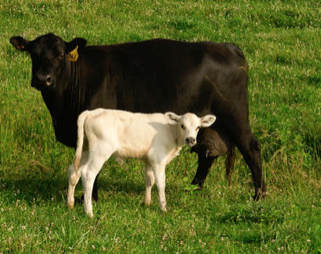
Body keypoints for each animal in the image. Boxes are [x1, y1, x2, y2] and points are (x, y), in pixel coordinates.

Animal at [8, 33, 266, 199]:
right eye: (33, 53)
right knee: (208, 154)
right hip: (206, 123)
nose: (43, 78)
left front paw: (91, 198)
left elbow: (95, 167)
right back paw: (193, 189)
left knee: (251, 149)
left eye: (60, 55)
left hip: (235, 114)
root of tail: (228, 47)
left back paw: (259, 194)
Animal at [66, 108, 215, 217]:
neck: (171, 132)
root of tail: (91, 112)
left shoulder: (149, 159)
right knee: (88, 174)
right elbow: (161, 183)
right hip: (100, 151)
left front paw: (146, 202)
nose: (191, 140)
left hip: (85, 149)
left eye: (198, 127)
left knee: (74, 171)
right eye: (182, 125)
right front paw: (163, 208)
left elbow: (149, 180)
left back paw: (70, 203)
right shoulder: (158, 159)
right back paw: (89, 212)